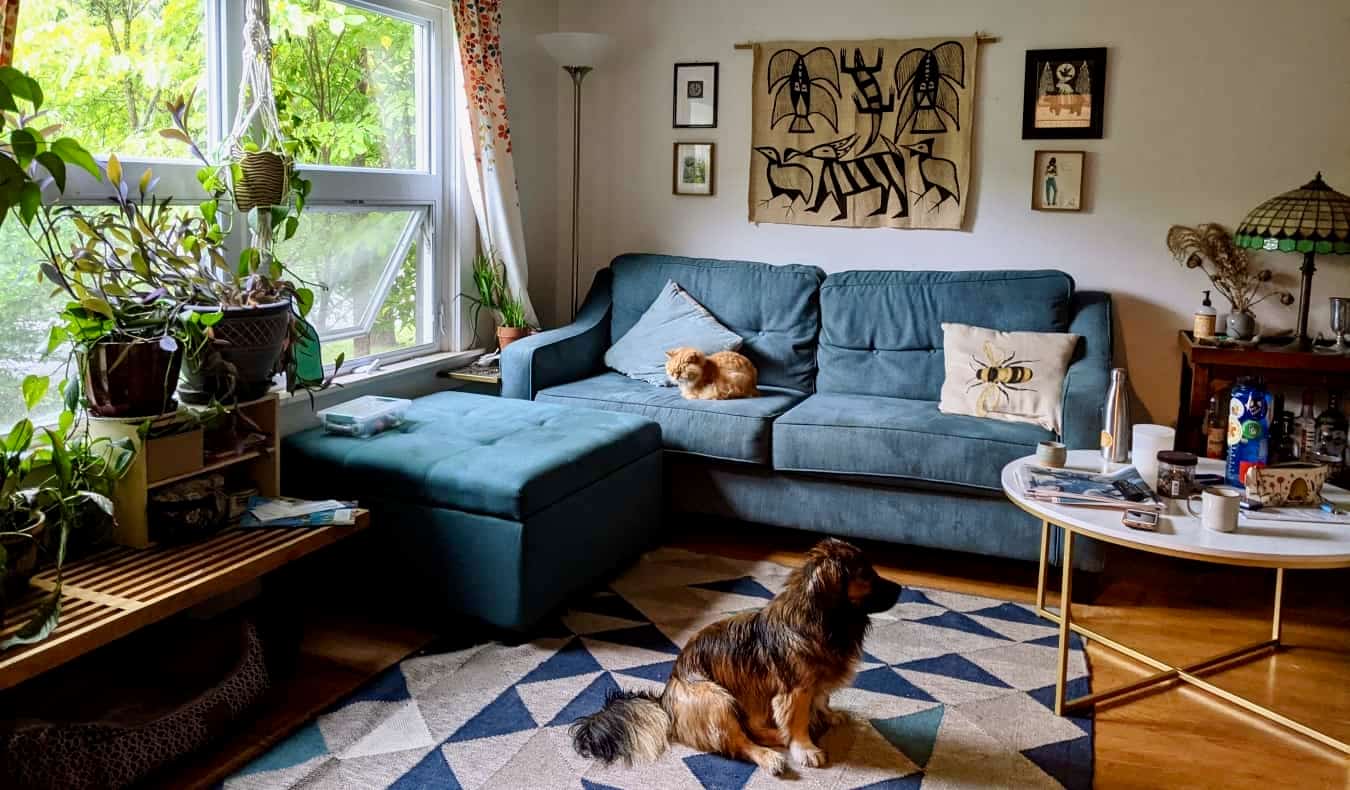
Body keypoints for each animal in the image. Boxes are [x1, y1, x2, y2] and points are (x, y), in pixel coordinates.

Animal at [567, 540, 896, 772]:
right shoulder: (794, 691)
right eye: (867, 575)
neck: (826, 621)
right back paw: (772, 754)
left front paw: (828, 715)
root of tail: (664, 699)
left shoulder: (812, 687)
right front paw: (805, 748)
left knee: (752, 730)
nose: (899, 589)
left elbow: (822, 700)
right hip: (716, 699)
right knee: (740, 742)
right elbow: (798, 720)